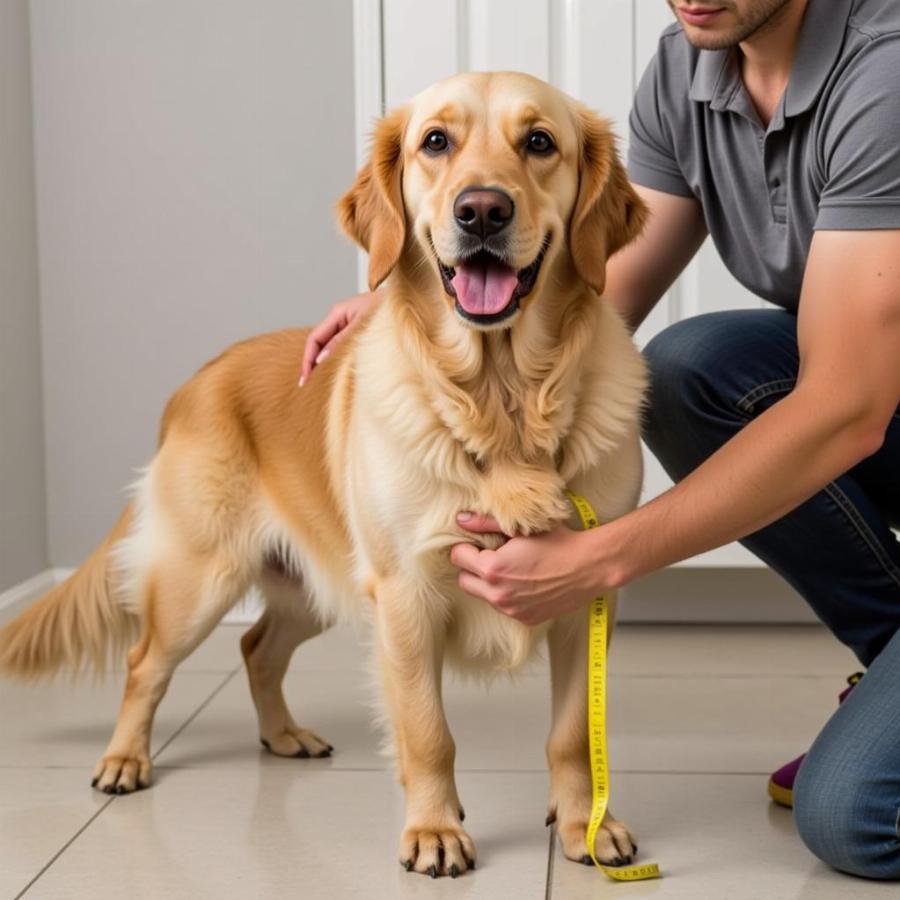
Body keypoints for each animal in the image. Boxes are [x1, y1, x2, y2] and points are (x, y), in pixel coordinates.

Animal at [0, 72, 648, 880]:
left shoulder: (583, 590)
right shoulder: (405, 596)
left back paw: (283, 736)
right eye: (436, 141)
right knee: (145, 661)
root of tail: (198, 379)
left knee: (256, 649)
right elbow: (427, 732)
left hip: (316, 585)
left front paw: (587, 825)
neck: (501, 400)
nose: (482, 210)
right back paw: (124, 760)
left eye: (539, 142)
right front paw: (435, 831)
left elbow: (572, 736)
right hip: (201, 579)